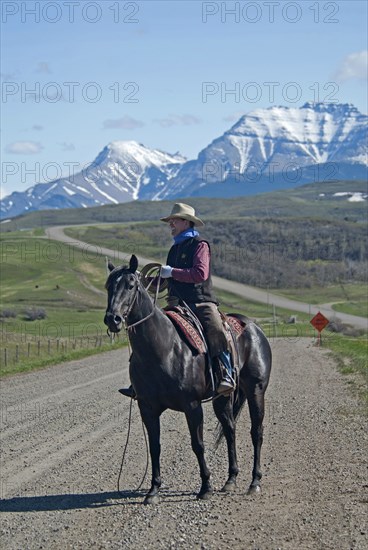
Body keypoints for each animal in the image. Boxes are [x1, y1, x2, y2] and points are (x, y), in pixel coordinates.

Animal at [103, 256, 270, 506]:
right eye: (108, 287)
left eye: (131, 285)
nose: (112, 319)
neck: (164, 348)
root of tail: (254, 327)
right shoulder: (147, 408)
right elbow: (155, 447)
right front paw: (153, 490)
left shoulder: (192, 406)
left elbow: (198, 445)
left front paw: (205, 487)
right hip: (222, 398)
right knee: (230, 429)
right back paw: (230, 480)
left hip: (256, 390)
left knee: (256, 432)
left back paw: (254, 482)